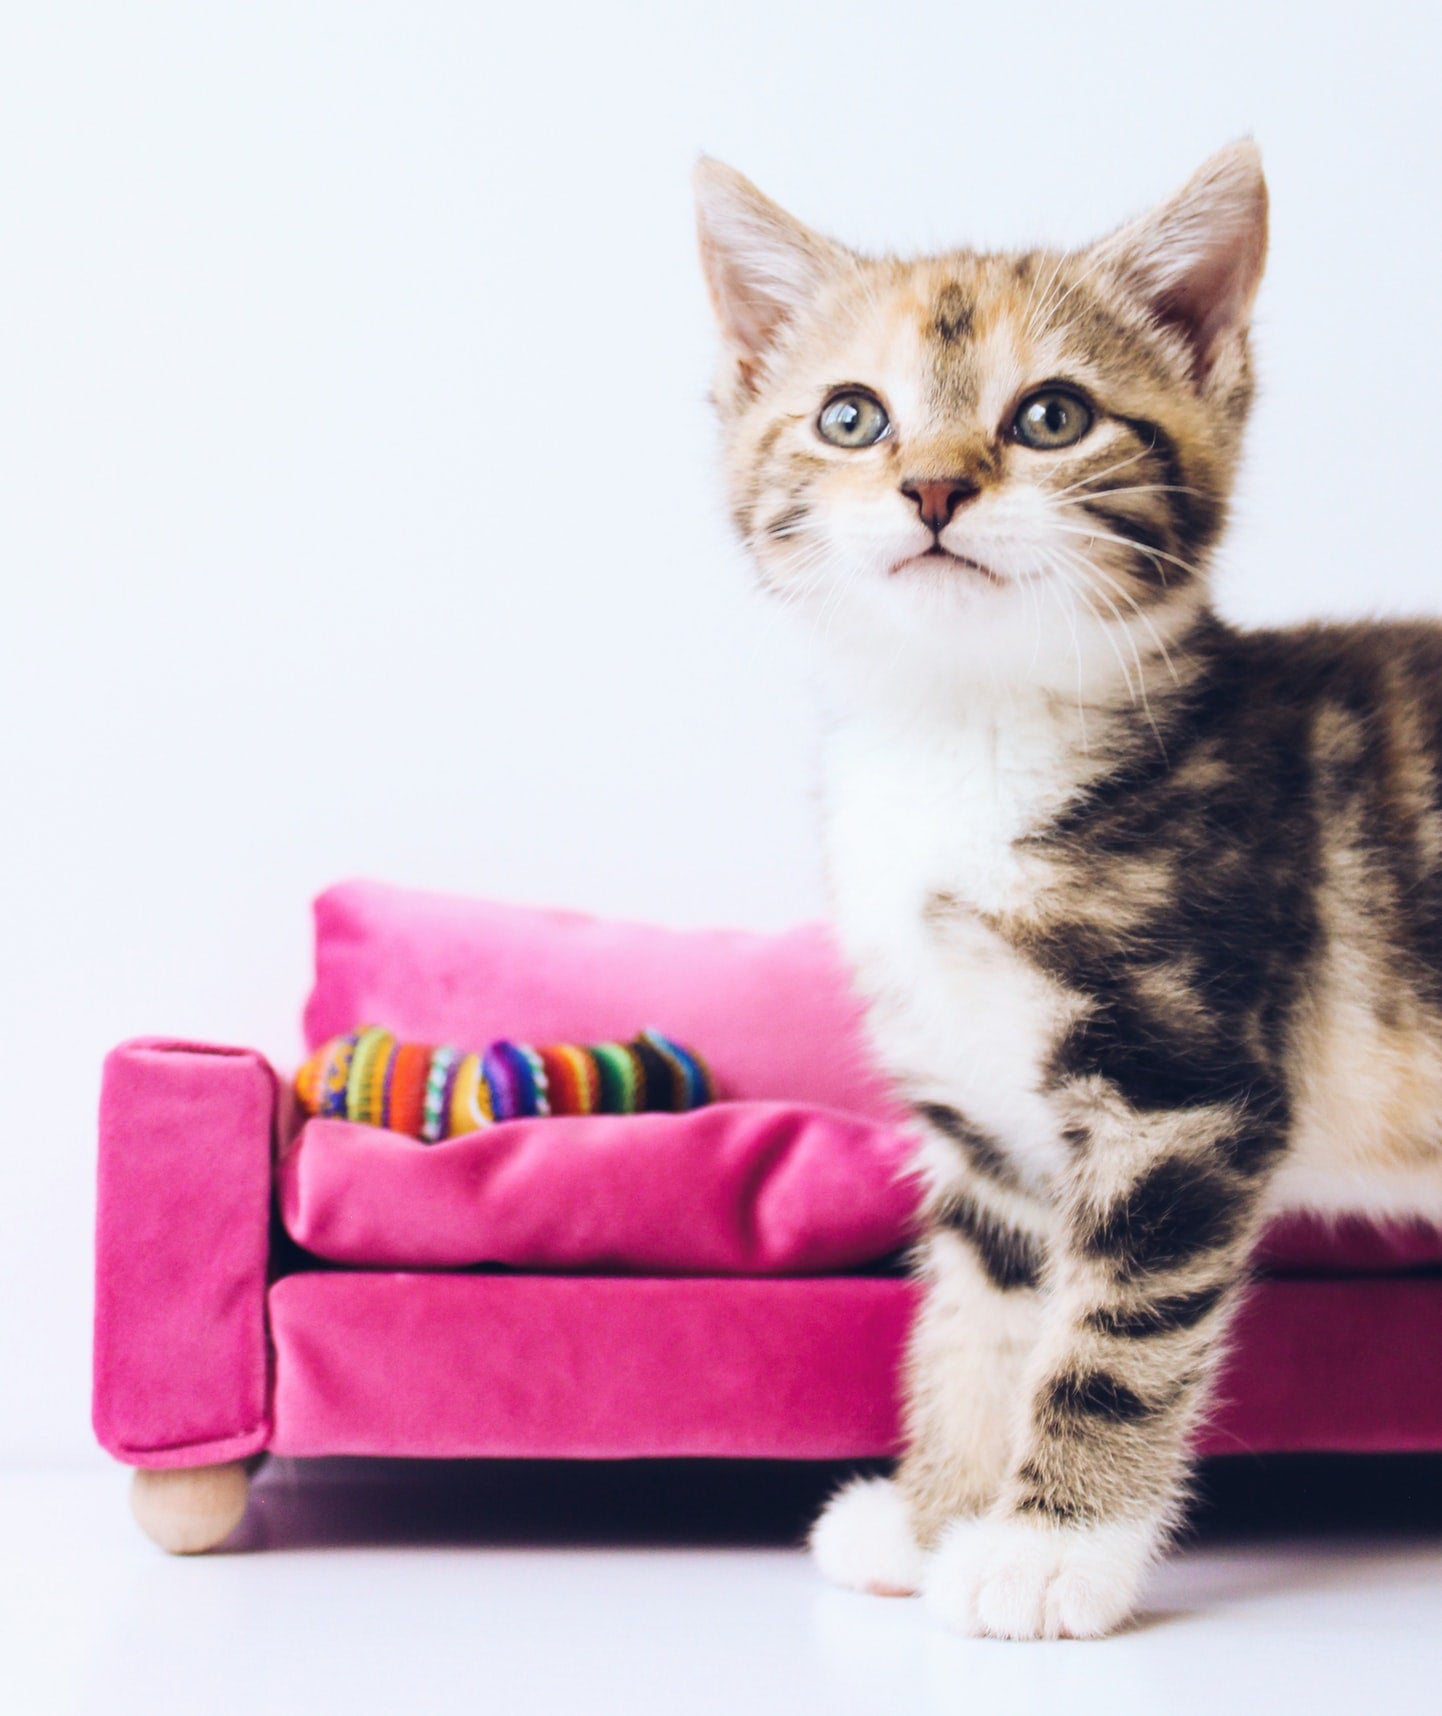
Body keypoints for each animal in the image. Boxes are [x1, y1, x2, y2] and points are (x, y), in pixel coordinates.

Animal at [693, 144, 1442, 1633]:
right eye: (852, 418)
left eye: (1051, 416)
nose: (932, 488)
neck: (964, 728)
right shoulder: (981, 1112)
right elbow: (982, 1312)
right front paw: (936, 1512)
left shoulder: (1179, 1088)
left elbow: (1114, 1329)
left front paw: (1050, 1548)